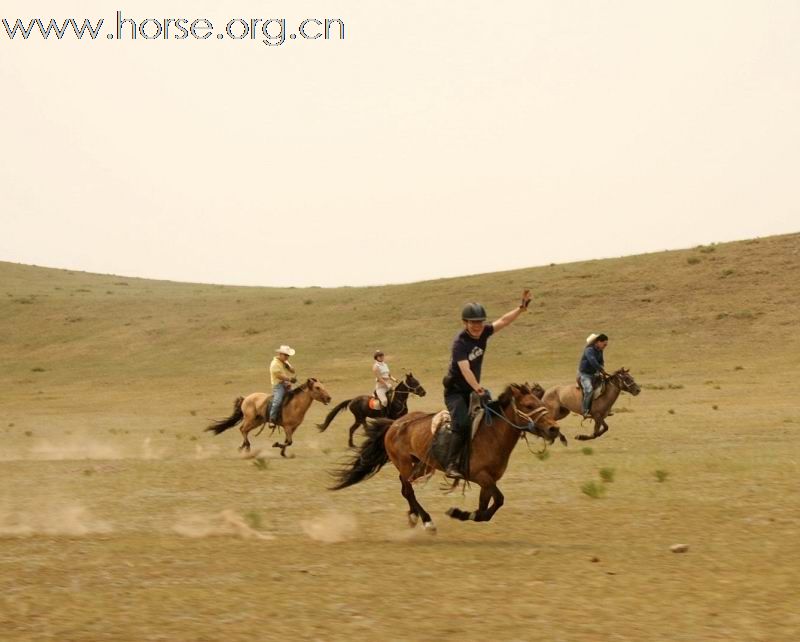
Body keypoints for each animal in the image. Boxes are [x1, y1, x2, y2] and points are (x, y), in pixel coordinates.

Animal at [328, 384, 560, 528]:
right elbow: (498, 501)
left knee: (405, 488)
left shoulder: (487, 481)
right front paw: (457, 513)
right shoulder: (481, 477)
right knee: (407, 489)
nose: (554, 429)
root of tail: (394, 424)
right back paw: (426, 520)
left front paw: (463, 513)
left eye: (542, 402)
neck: (492, 434)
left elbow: (486, 509)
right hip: (406, 464)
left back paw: (414, 515)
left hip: (422, 465)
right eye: (528, 406)